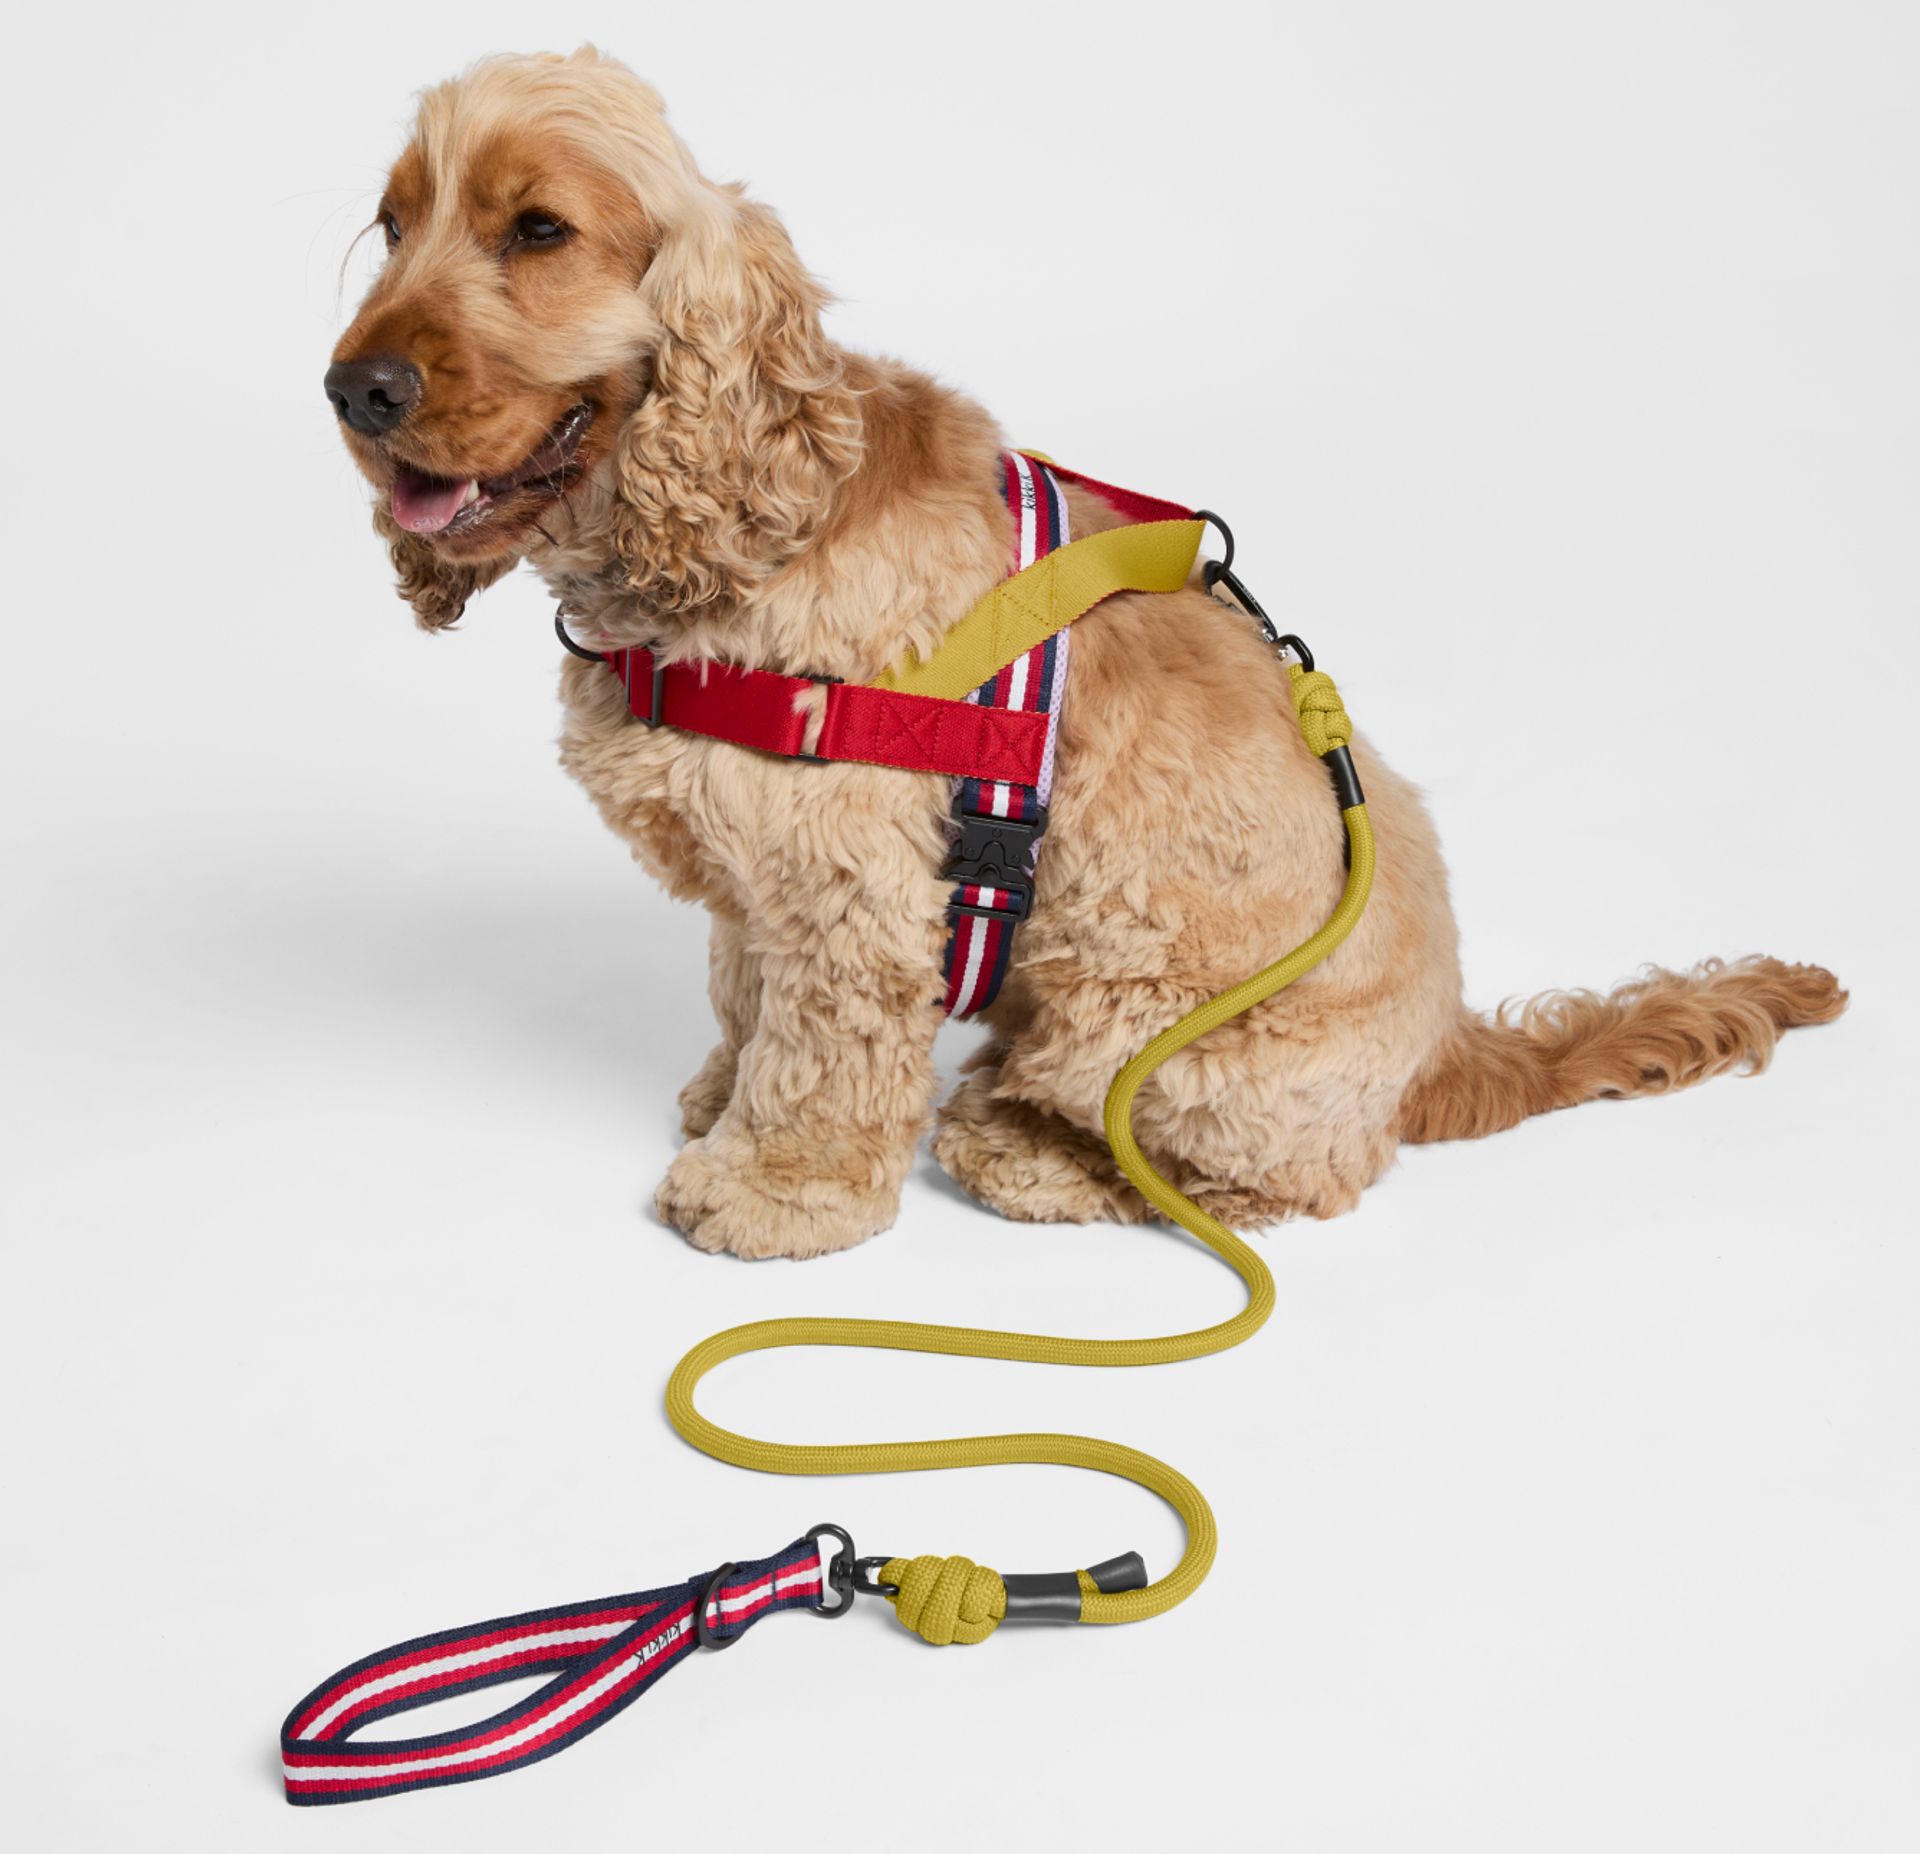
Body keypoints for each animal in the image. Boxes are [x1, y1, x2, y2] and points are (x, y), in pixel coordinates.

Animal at [324, 48, 1845, 1260]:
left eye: (539, 229)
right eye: (394, 222)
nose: (354, 388)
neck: (744, 520)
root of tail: (1445, 1048)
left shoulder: (847, 879)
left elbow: (820, 1051)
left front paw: (769, 1189)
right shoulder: (759, 873)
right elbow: (741, 992)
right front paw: (718, 1095)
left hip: (1158, 1030)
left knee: (1270, 1180)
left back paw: (1029, 1151)